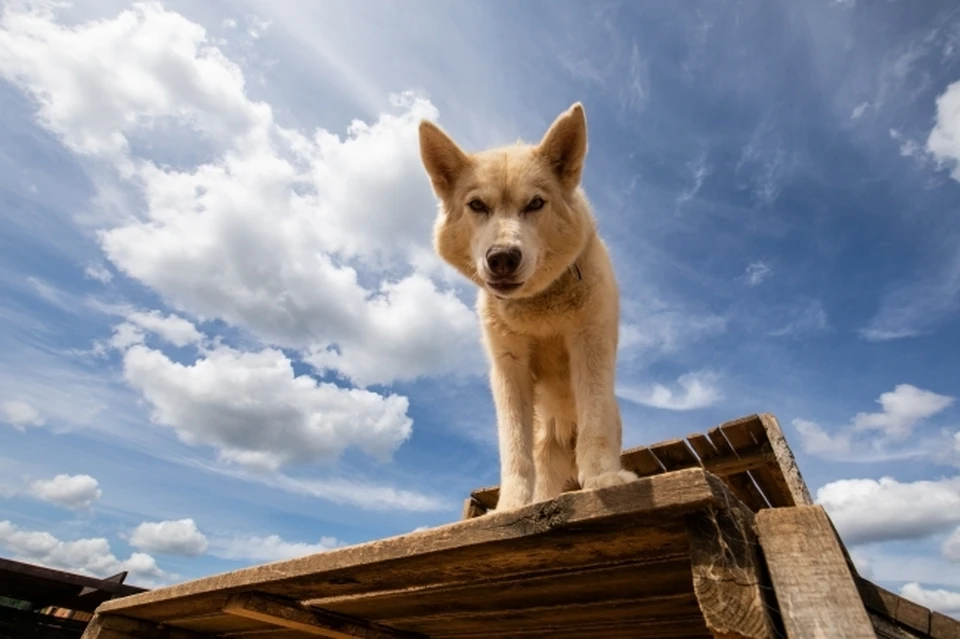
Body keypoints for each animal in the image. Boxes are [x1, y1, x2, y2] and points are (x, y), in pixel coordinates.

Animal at [418, 105, 636, 516]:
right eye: (477, 205)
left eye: (535, 203)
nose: (502, 258)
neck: (539, 306)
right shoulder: (509, 367)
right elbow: (514, 450)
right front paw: (510, 506)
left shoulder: (589, 345)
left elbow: (595, 424)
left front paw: (604, 478)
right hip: (545, 443)